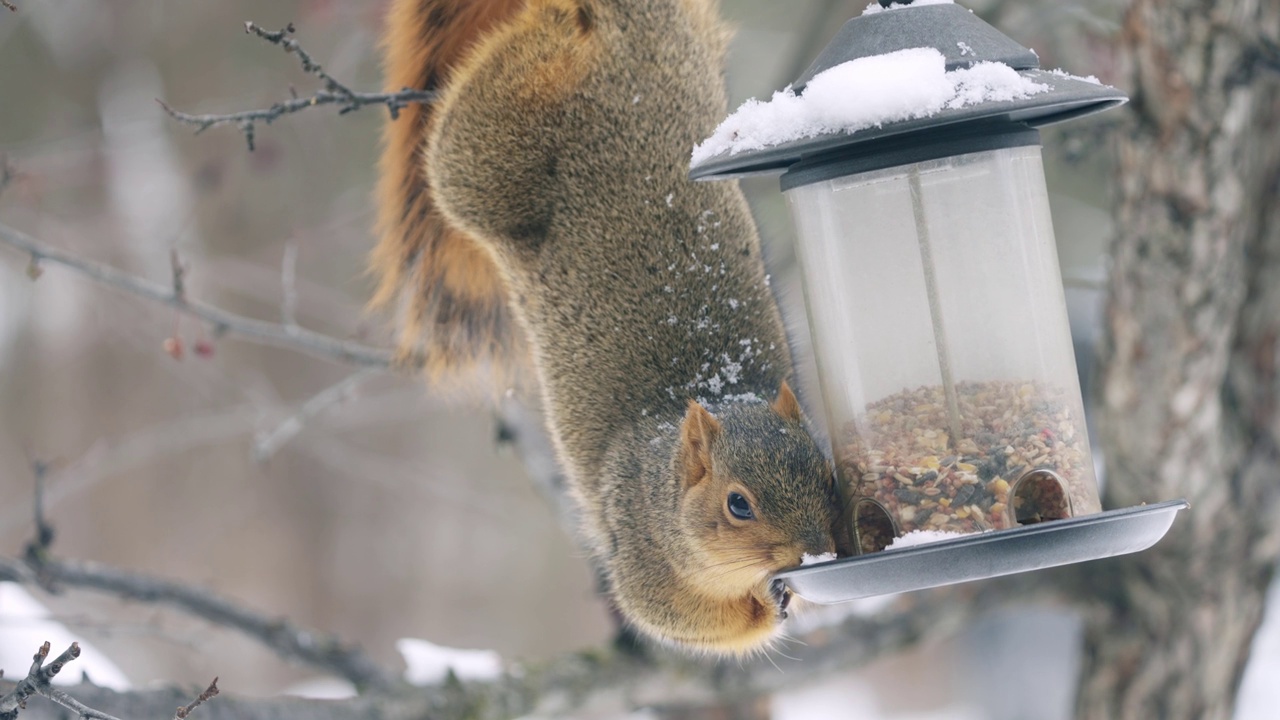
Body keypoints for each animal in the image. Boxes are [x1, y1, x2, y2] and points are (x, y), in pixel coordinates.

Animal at [373, 0, 849, 653]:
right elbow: (680, 617)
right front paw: (760, 608)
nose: (815, 553)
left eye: (826, 473)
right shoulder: (640, 548)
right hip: (479, 156)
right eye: (738, 505)